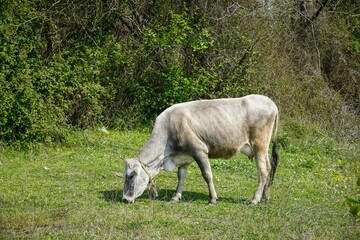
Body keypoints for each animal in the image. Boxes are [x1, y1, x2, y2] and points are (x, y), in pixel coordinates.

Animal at [123, 94, 278, 205]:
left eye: (130, 176)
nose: (125, 199)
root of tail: (270, 102)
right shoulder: (183, 157)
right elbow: (181, 176)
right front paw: (175, 197)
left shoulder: (199, 150)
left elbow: (207, 175)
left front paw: (213, 199)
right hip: (263, 149)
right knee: (269, 167)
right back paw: (265, 198)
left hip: (259, 145)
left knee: (263, 172)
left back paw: (255, 199)